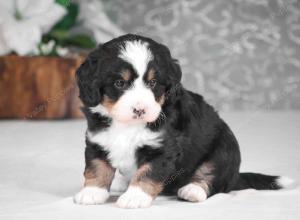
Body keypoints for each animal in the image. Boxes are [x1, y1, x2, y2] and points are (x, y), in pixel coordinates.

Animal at [73, 34, 290, 208]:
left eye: (153, 83)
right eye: (120, 83)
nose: (140, 110)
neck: (126, 125)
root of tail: (236, 175)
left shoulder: (163, 148)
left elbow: (147, 173)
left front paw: (135, 197)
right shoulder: (97, 140)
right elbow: (97, 167)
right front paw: (92, 192)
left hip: (224, 150)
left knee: (212, 176)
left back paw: (192, 190)